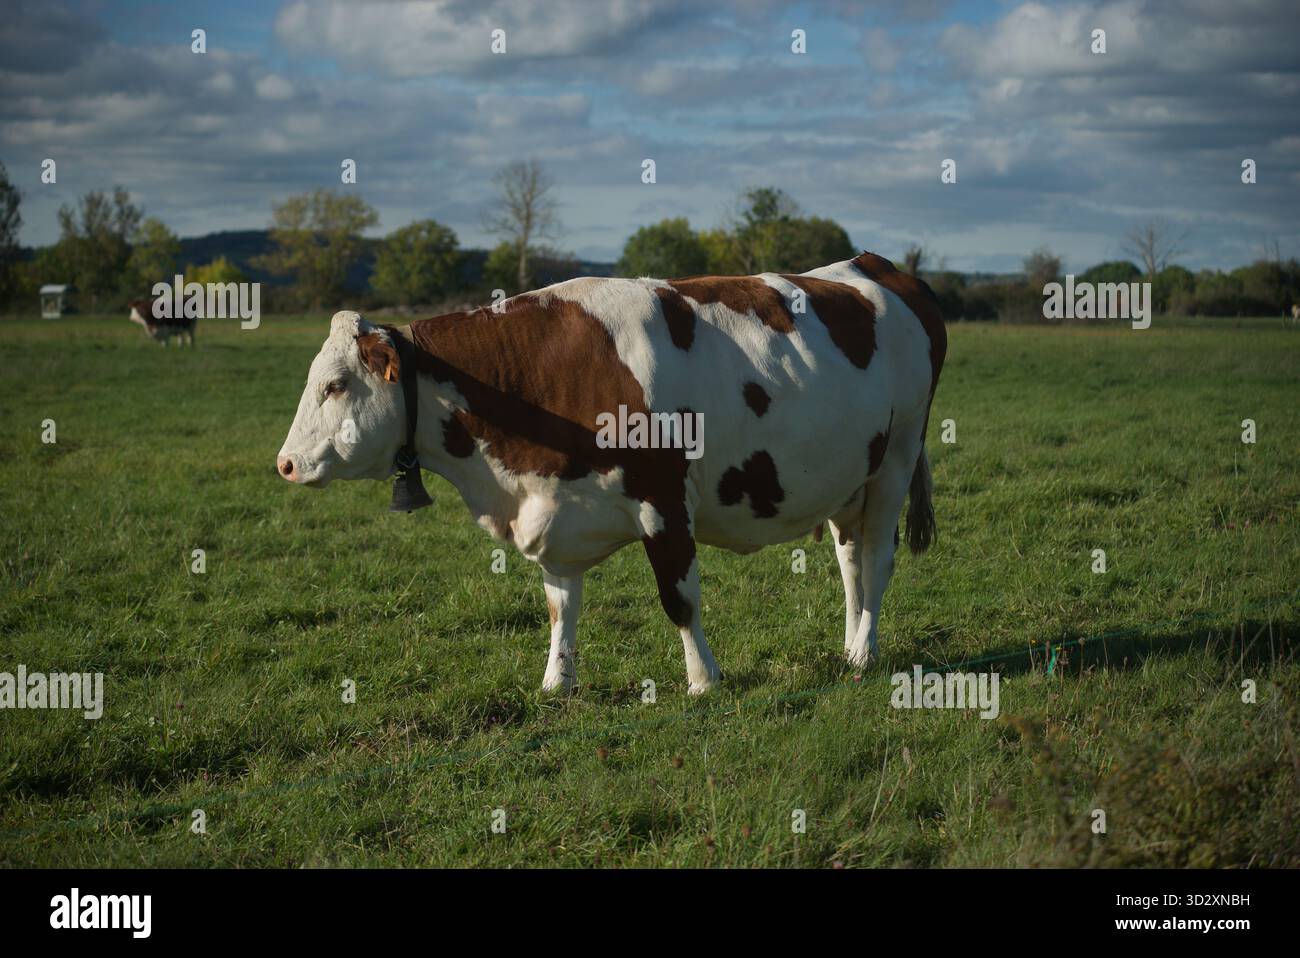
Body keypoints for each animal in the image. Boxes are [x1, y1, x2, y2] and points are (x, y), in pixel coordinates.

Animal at [276, 251, 946, 694]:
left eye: (335, 385)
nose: (285, 463)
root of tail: (877, 265)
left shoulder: (664, 500)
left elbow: (678, 597)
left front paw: (704, 680)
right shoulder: (552, 507)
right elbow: (560, 605)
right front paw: (557, 683)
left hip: (897, 455)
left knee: (877, 558)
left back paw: (865, 651)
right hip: (849, 474)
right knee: (850, 558)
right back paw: (852, 648)